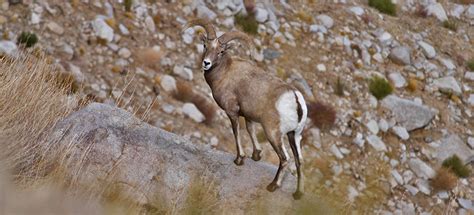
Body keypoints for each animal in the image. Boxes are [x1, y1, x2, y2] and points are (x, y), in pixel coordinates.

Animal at [181, 19, 308, 199]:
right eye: (205, 45)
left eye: (221, 51)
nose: (206, 63)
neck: (225, 73)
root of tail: (295, 98)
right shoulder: (248, 116)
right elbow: (250, 130)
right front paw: (256, 155)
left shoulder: (232, 113)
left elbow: (236, 132)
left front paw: (239, 159)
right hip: (294, 135)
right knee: (299, 161)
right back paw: (298, 193)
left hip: (274, 134)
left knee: (285, 159)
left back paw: (272, 186)